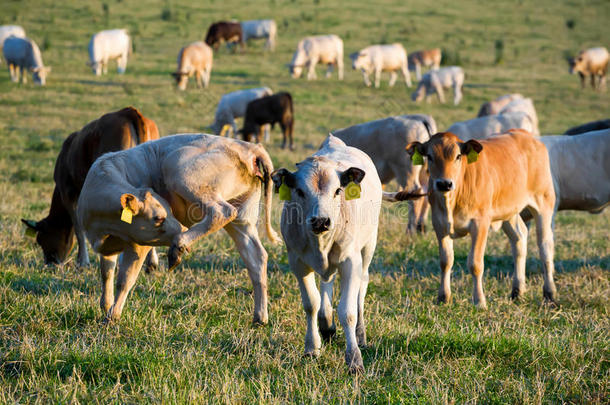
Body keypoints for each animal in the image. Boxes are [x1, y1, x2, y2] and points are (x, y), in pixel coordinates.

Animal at [21, 106, 159, 268]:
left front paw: (83, 261)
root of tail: (128, 111)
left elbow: (79, 227)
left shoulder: (69, 193)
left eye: (40, 240)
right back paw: (151, 263)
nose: (50, 263)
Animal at [76, 134, 282, 324]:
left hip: (183, 173)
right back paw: (260, 317)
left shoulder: (138, 245)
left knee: (222, 211)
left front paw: (112, 316)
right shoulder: (106, 245)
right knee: (256, 257)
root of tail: (248, 147)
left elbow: (125, 279)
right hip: (242, 217)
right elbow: (106, 273)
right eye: (158, 218)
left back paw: (179, 246)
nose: (180, 228)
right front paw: (106, 305)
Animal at [272, 134, 380, 370]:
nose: (321, 221)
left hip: (368, 247)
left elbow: (348, 311)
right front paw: (312, 348)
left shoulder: (351, 262)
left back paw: (360, 335)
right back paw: (326, 324)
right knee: (326, 282)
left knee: (361, 289)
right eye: (300, 191)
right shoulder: (298, 263)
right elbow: (311, 304)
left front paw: (354, 359)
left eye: (338, 190)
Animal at [404, 129, 556, 306]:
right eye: (429, 156)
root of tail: (525, 134)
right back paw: (517, 291)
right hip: (509, 211)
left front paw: (479, 301)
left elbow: (475, 264)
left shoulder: (480, 224)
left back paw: (549, 294)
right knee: (519, 238)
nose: (444, 183)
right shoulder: (439, 224)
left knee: (545, 247)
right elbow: (445, 261)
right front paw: (443, 297)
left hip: (544, 202)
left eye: (458, 156)